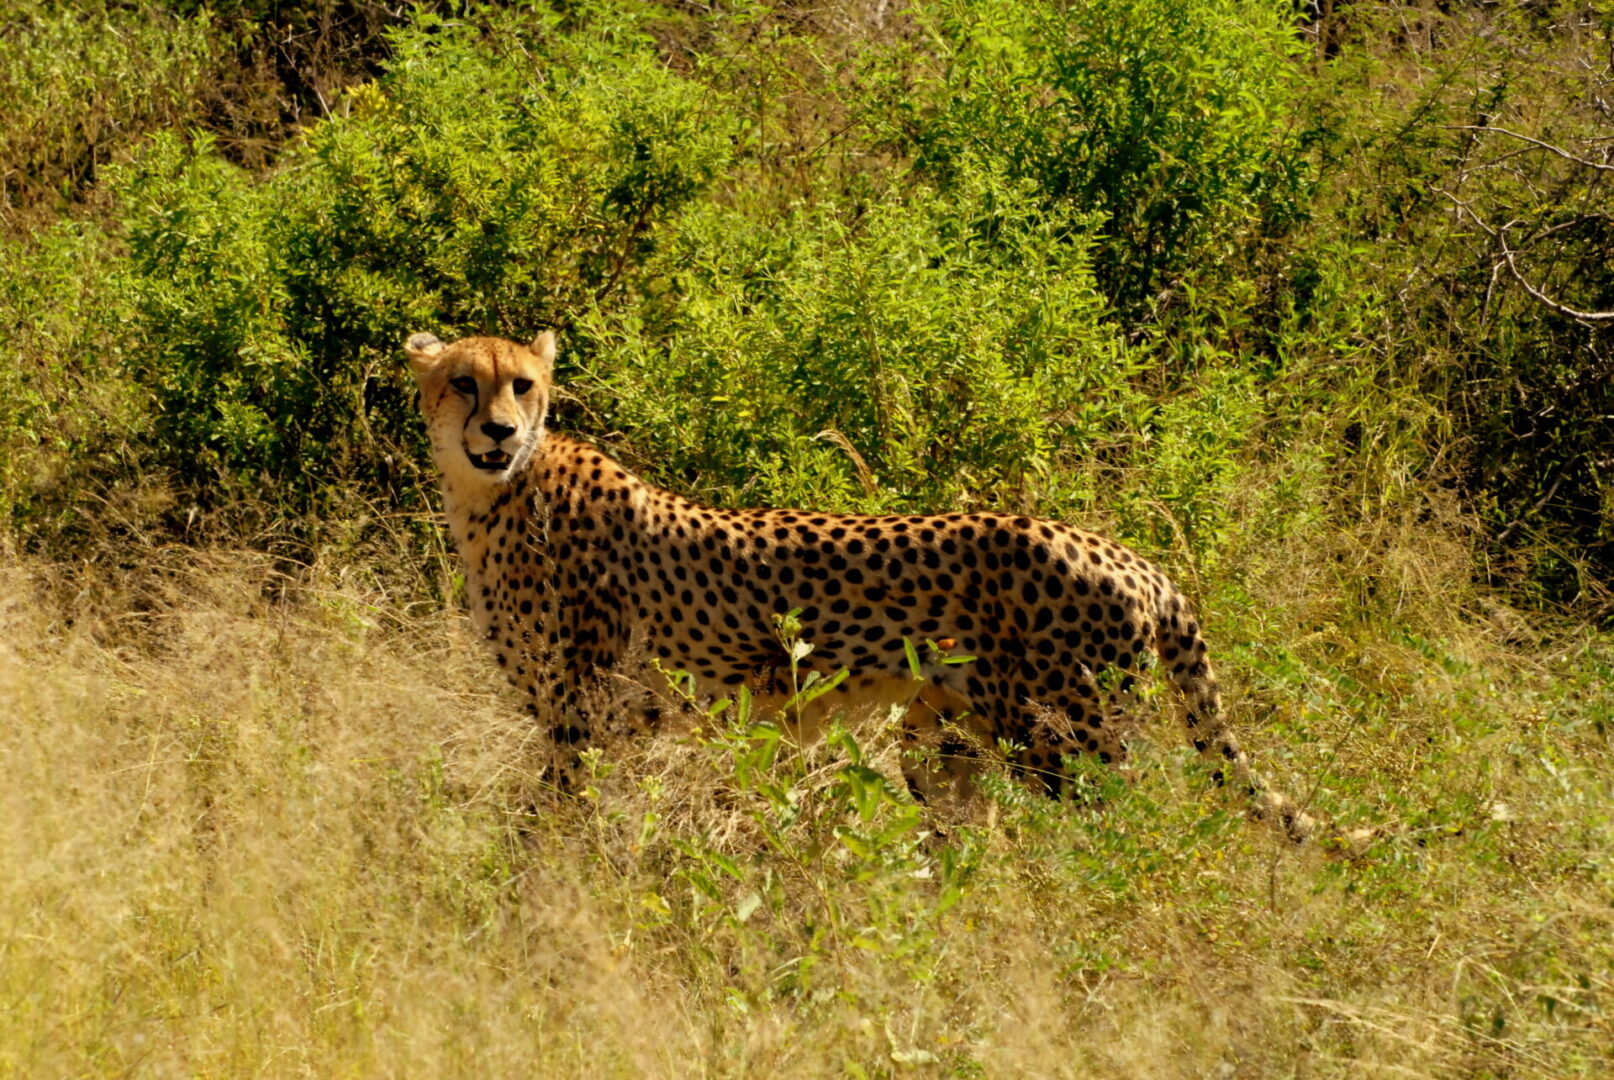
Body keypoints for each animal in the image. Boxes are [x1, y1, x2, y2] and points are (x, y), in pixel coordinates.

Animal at [413, 332, 1323, 839]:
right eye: (464, 381)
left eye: (523, 384)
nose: (501, 429)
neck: (493, 492)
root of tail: (1131, 555)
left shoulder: (588, 713)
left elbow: (550, 823)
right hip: (946, 739)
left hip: (1063, 737)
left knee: (1130, 827)